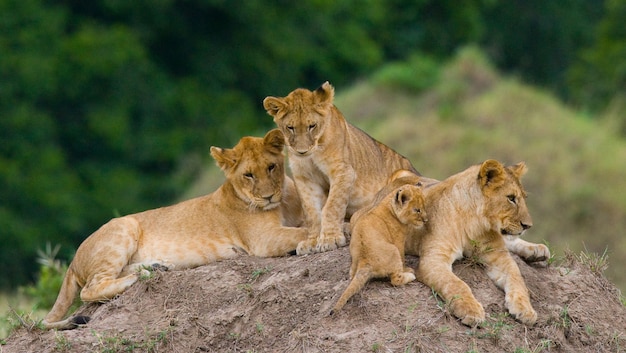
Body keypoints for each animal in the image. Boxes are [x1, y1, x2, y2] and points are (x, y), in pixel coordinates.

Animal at [42, 129, 308, 330]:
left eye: (271, 167)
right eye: (249, 175)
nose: (268, 196)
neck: (283, 202)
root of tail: (73, 261)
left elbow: (307, 224)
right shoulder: (263, 240)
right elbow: (300, 233)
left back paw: (156, 267)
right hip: (124, 226)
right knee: (91, 289)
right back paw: (141, 276)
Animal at [260, 81, 416, 254]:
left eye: (312, 126)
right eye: (290, 127)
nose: (301, 151)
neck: (313, 153)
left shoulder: (343, 171)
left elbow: (332, 205)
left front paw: (330, 239)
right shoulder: (304, 178)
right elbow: (311, 211)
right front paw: (312, 241)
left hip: (402, 174)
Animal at [330, 172, 426, 312]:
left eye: (424, 207)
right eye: (417, 210)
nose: (426, 220)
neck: (389, 203)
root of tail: (365, 261)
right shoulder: (398, 241)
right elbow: (402, 257)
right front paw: (406, 268)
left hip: (354, 263)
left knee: (352, 275)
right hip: (393, 250)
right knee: (395, 280)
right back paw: (410, 275)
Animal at [402, 159, 548, 324]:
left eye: (524, 198)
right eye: (511, 198)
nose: (528, 225)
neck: (473, 222)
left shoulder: (498, 256)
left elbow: (517, 276)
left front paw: (525, 309)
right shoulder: (434, 259)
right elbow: (456, 283)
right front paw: (470, 309)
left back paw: (537, 251)